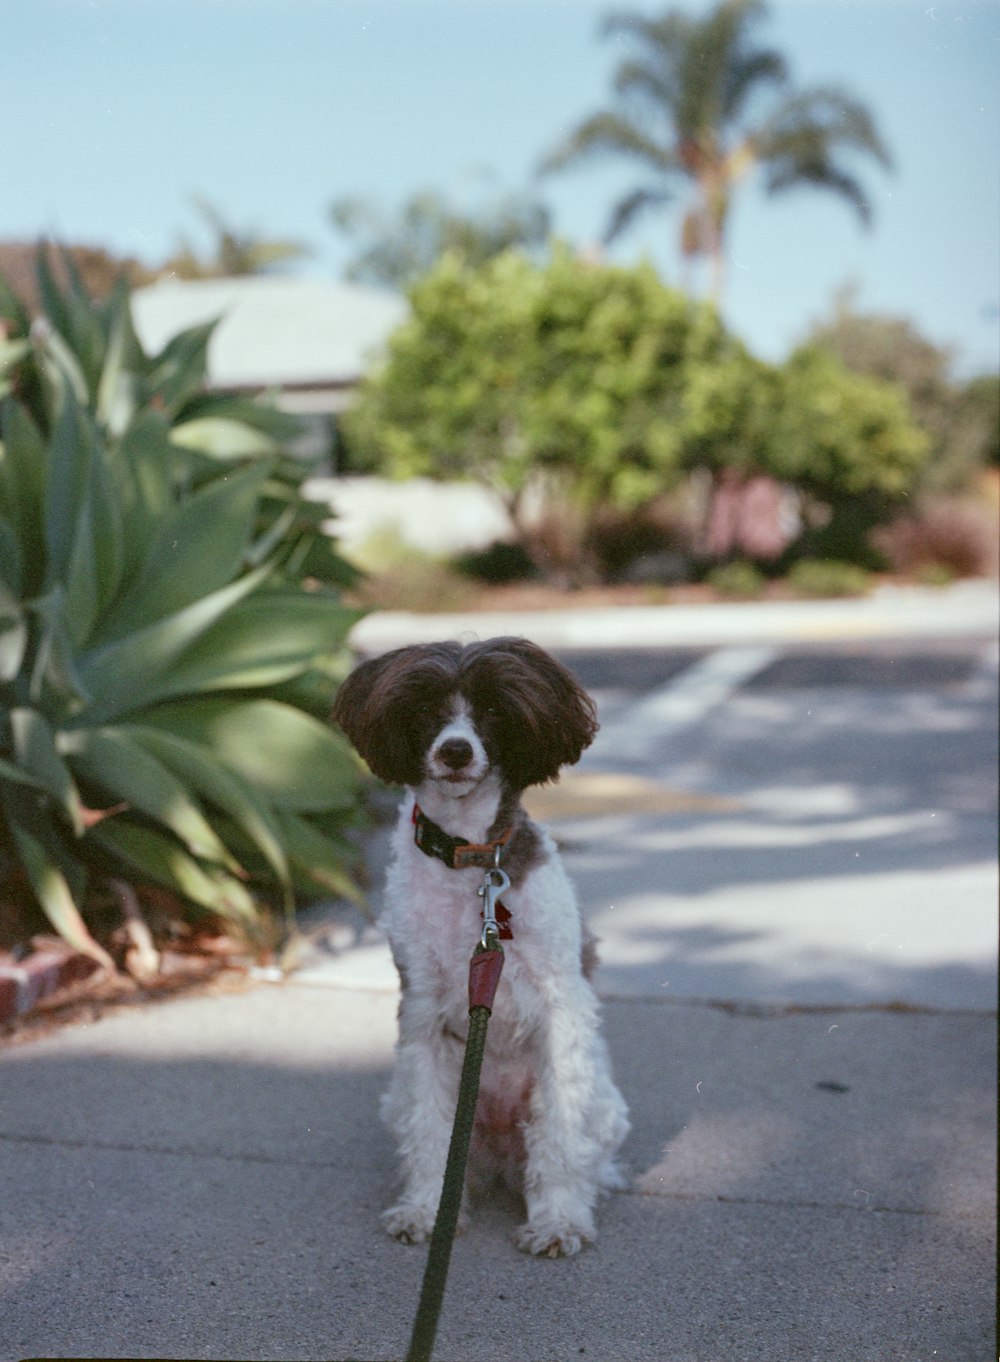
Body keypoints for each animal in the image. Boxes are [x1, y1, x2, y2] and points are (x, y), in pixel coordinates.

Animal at [336, 637, 634, 1253]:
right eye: (424, 708)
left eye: (495, 710)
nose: (455, 750)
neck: (471, 860)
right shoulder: (423, 1011)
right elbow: (429, 1130)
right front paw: (426, 1211)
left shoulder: (561, 1007)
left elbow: (560, 1132)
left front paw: (558, 1219)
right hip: (404, 1097)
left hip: (602, 1104)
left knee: (578, 1146)